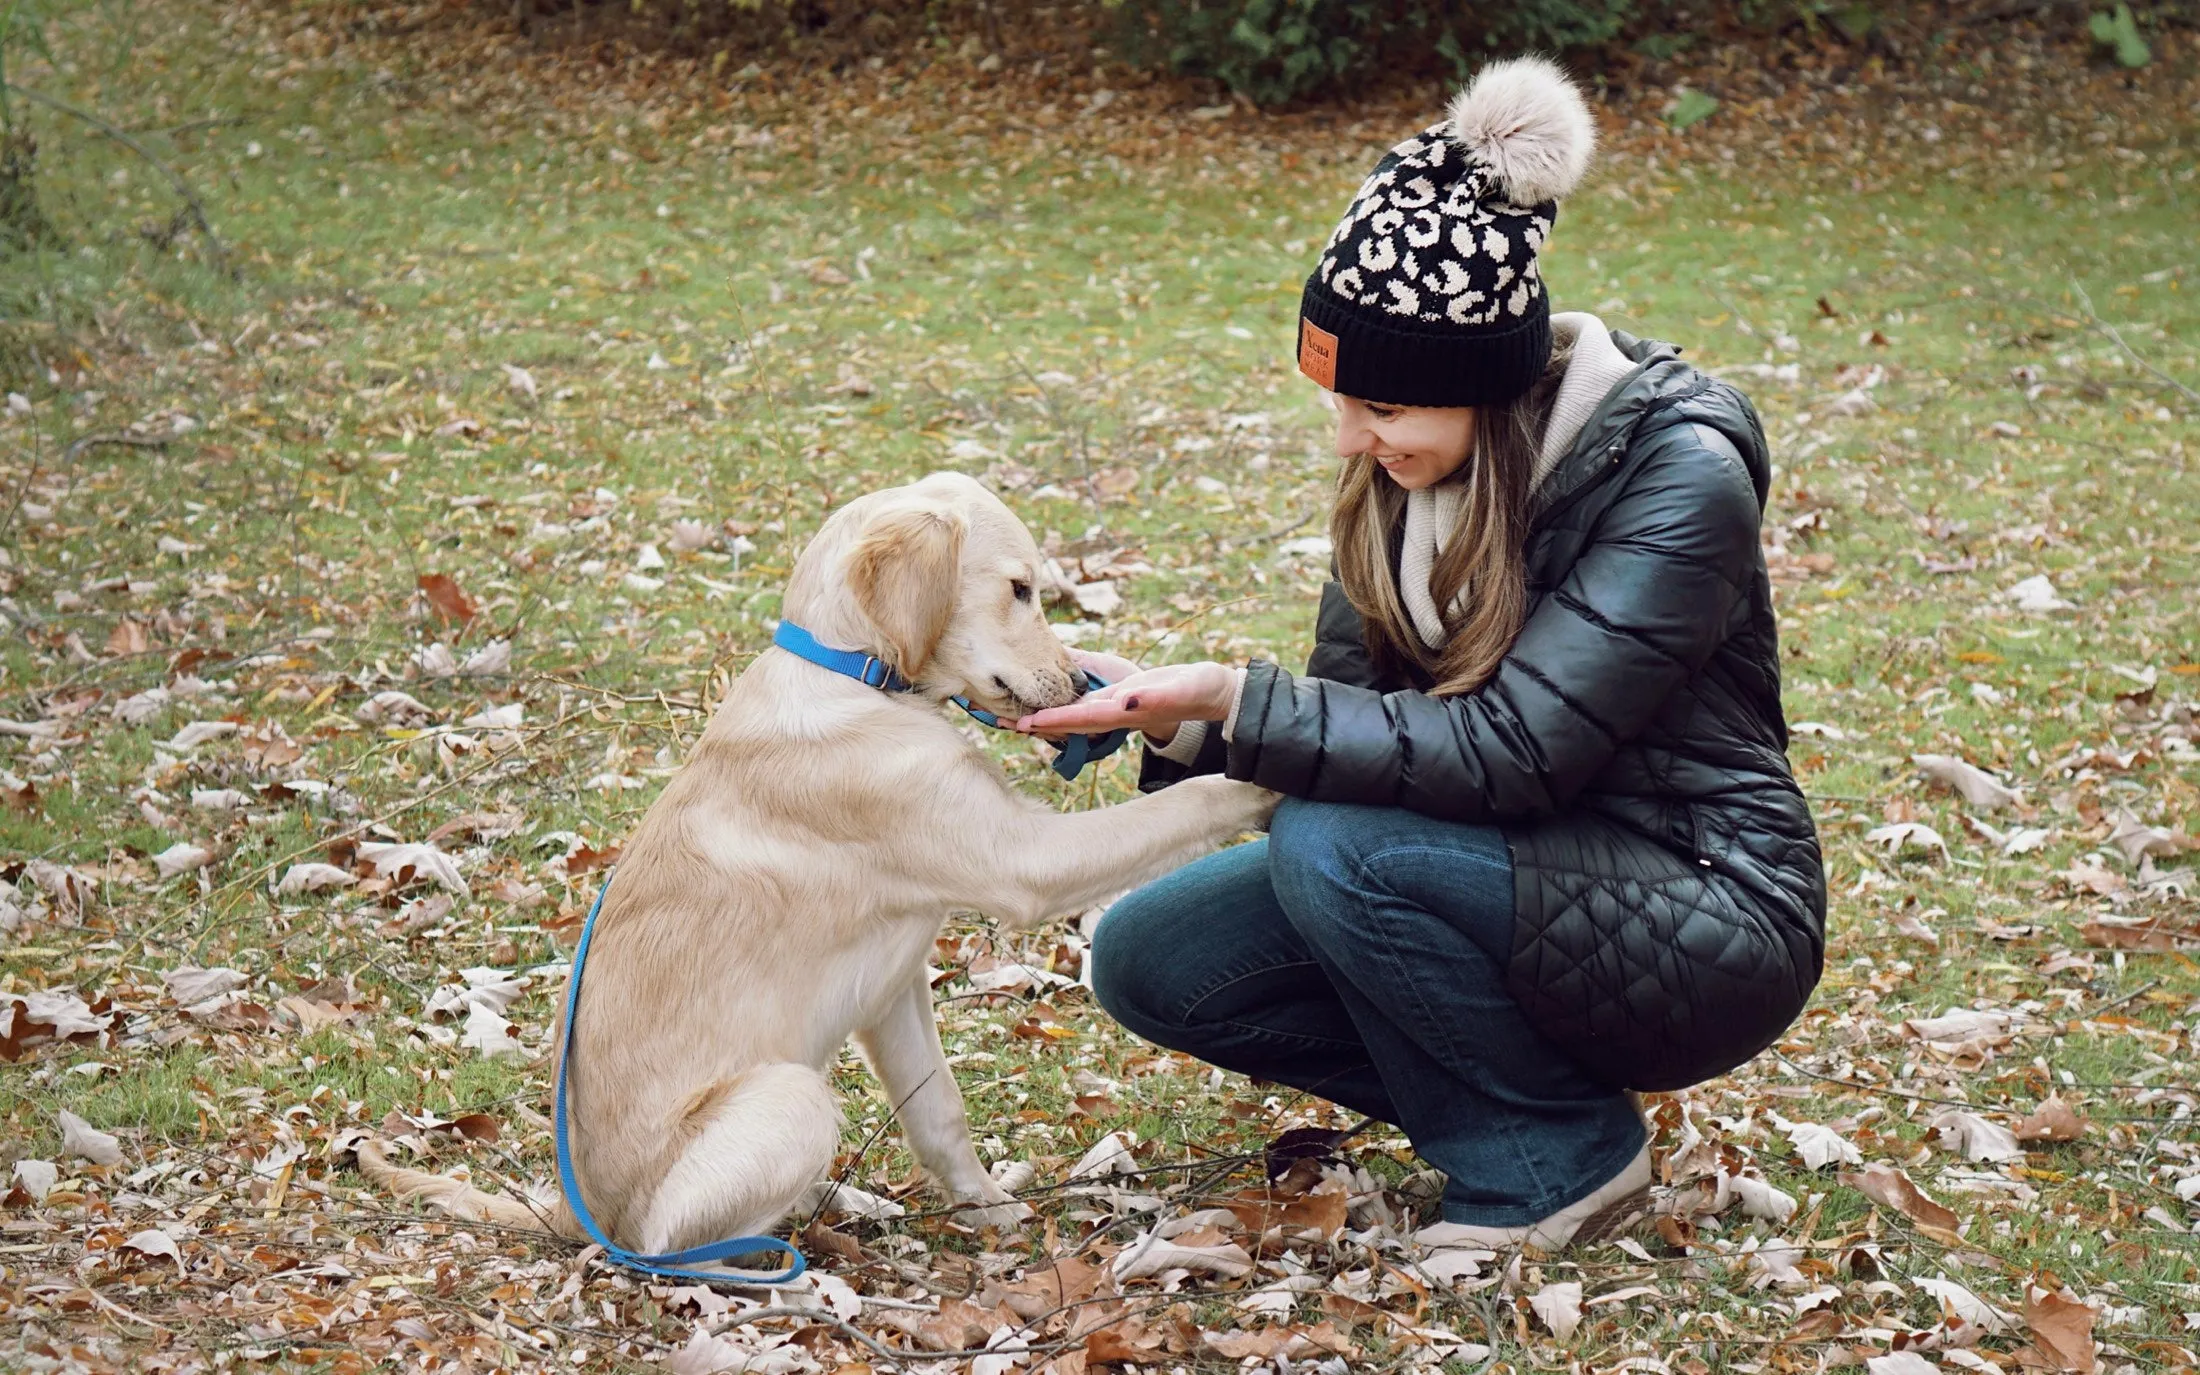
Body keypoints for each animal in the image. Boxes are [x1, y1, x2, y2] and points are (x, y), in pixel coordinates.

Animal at [365, 468, 1276, 1258]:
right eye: (1019, 588)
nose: (1079, 685)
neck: (856, 676)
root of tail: (567, 1207)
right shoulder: (1023, 860)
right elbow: (1178, 806)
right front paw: (1260, 775)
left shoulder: (895, 986)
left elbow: (938, 1108)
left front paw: (989, 1208)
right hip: (790, 1096)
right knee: (669, 1242)